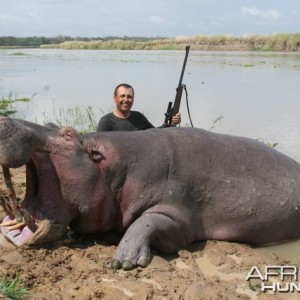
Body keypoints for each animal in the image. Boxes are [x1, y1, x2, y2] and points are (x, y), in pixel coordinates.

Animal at [0, 116, 300, 270]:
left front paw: (124, 260)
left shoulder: (179, 215)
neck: (117, 167)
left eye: (67, 134)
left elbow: (147, 221)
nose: (4, 118)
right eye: (51, 124)